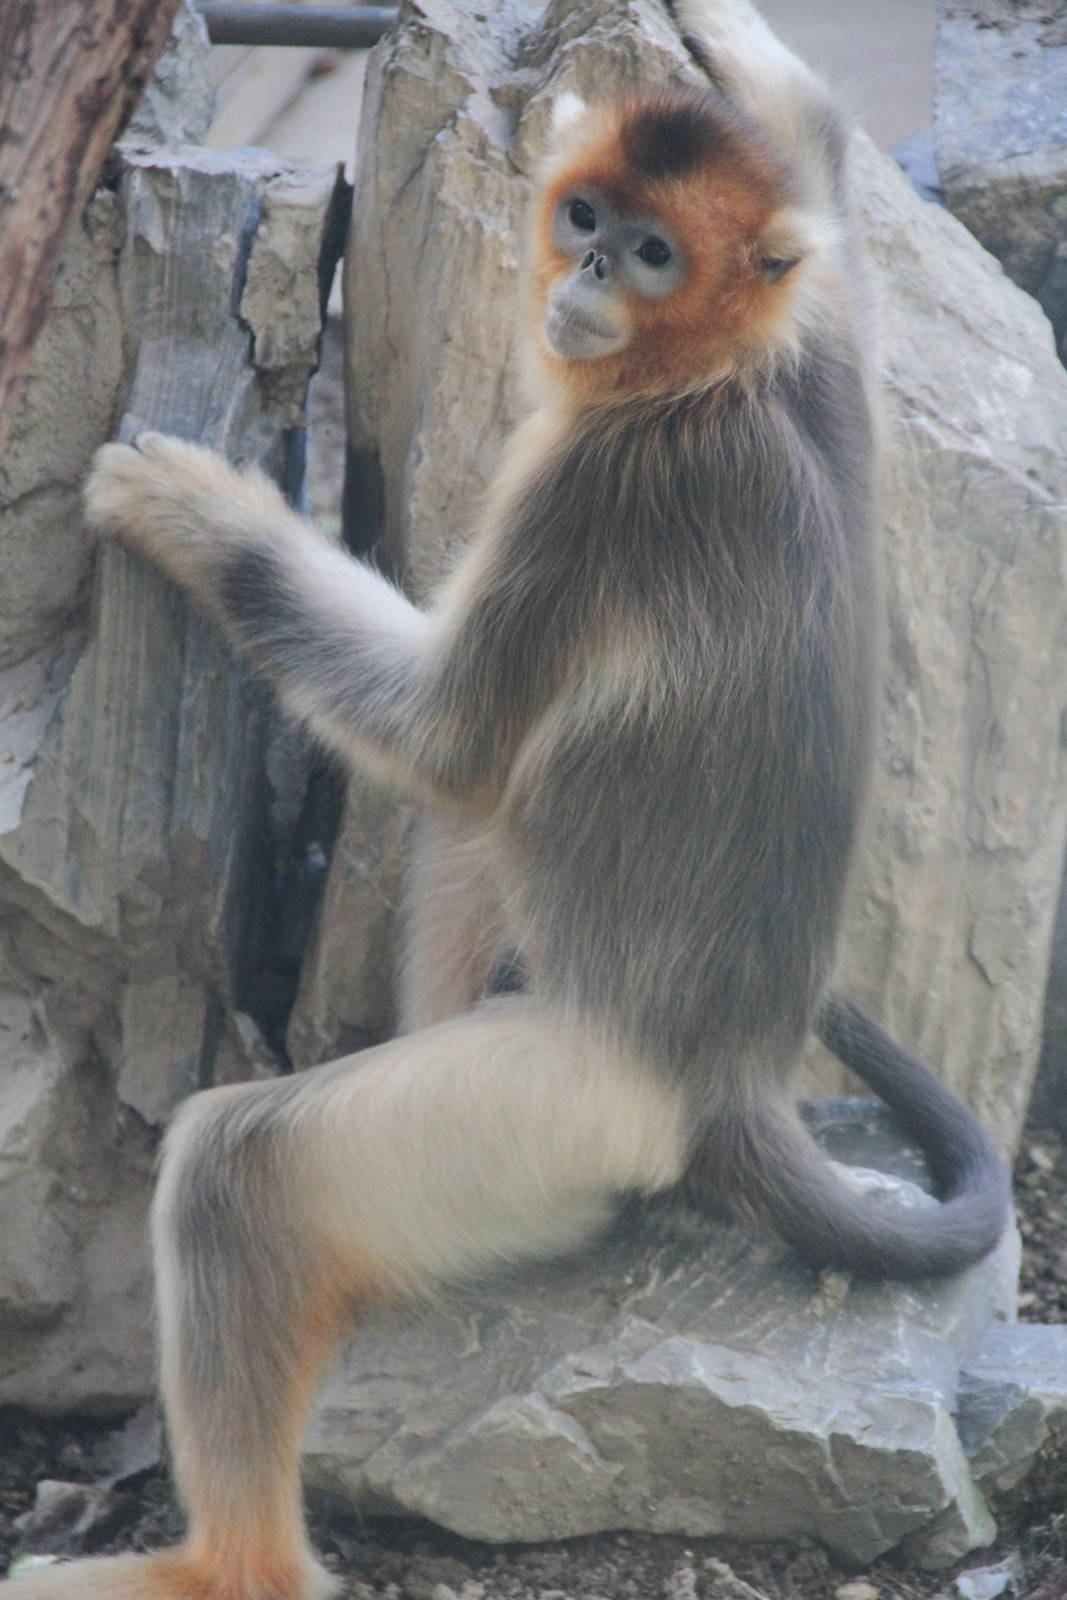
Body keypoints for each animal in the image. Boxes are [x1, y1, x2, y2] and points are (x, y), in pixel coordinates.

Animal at [0, 5, 1011, 1598]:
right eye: (589, 221)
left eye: (649, 254)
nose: (586, 275)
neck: (707, 378)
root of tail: (724, 1085)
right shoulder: (823, 349)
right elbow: (824, 166)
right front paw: (720, 47)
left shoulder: (599, 491)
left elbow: (449, 739)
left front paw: (197, 517)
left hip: (552, 1116)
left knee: (246, 1160)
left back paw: (224, 1561)